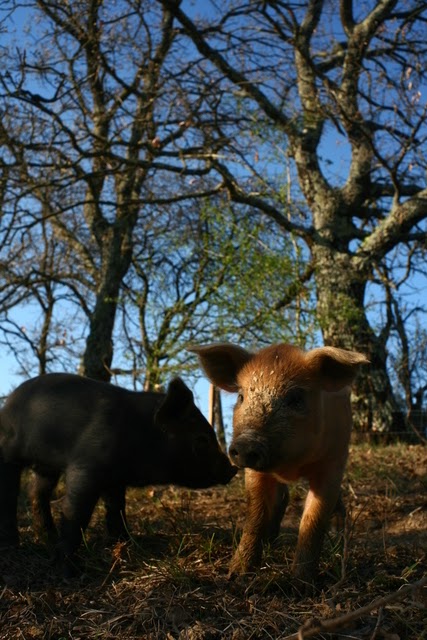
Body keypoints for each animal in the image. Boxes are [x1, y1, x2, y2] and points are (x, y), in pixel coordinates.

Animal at [0, 374, 237, 572]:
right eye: (202, 440)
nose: (233, 469)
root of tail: (7, 404)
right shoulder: (87, 466)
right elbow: (77, 511)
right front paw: (67, 567)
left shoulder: (115, 479)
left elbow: (117, 509)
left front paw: (126, 543)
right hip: (9, 451)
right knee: (11, 494)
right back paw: (12, 545)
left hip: (47, 469)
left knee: (36, 493)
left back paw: (47, 537)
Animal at [189, 342, 369, 587]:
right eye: (241, 396)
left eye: (295, 399)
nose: (247, 442)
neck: (291, 466)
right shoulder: (255, 472)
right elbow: (255, 513)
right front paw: (236, 575)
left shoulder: (332, 462)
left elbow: (313, 518)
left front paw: (302, 585)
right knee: (281, 499)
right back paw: (271, 542)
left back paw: (339, 537)